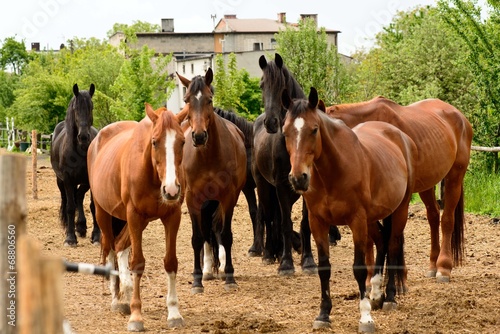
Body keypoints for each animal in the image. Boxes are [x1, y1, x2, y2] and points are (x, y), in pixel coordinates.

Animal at [51, 83, 101, 245]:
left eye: (91, 107)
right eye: (75, 108)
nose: (83, 136)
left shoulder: (89, 180)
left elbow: (92, 206)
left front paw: (96, 236)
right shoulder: (67, 179)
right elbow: (70, 207)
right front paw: (70, 238)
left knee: (78, 196)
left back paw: (81, 226)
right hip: (60, 181)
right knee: (68, 200)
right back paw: (72, 228)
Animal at [87, 102, 187, 332]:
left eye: (182, 141)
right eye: (154, 141)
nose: (171, 190)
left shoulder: (172, 216)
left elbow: (170, 262)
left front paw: (174, 313)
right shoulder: (134, 215)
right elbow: (138, 263)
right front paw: (136, 316)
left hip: (138, 222)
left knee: (120, 245)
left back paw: (125, 290)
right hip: (104, 214)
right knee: (110, 248)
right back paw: (117, 299)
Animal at [177, 69, 247, 294]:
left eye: (209, 99)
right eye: (187, 100)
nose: (199, 136)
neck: (207, 156)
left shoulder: (228, 197)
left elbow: (225, 234)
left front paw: (230, 277)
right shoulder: (192, 199)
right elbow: (197, 238)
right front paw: (197, 280)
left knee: (215, 227)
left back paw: (222, 267)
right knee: (207, 230)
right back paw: (207, 269)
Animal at [282, 87, 418, 332]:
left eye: (314, 129)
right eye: (285, 132)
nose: (298, 178)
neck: (333, 171)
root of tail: (401, 137)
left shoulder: (356, 221)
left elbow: (359, 268)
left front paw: (365, 317)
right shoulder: (318, 222)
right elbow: (324, 268)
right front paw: (323, 314)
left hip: (399, 211)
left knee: (393, 245)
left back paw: (390, 297)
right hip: (372, 219)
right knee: (382, 242)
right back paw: (376, 294)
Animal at [324, 94, 472, 282]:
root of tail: (459, 116)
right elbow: (370, 238)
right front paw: (371, 275)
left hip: (455, 177)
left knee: (447, 220)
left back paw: (443, 267)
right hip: (426, 184)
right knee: (433, 217)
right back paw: (432, 264)